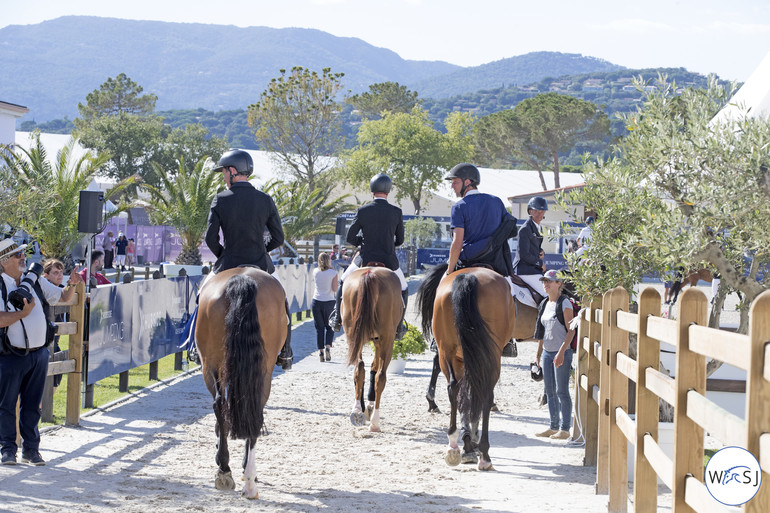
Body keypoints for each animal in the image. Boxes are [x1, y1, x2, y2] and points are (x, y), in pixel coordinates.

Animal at [194, 266, 286, 498]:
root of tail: (242, 279)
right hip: (262, 370)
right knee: (253, 410)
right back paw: (248, 479)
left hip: (212, 364)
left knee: (221, 405)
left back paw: (226, 470)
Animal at [340, 264, 402, 432]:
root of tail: (369, 274)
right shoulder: (380, 341)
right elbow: (375, 369)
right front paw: (369, 406)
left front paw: (363, 408)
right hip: (387, 340)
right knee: (380, 376)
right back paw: (375, 421)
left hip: (352, 336)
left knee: (359, 368)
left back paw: (356, 411)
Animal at [414, 262, 516, 470]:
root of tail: (468, 277)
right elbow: (473, 397)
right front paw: (474, 439)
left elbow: (464, 398)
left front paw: (468, 439)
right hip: (491, 357)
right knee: (485, 394)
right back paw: (484, 454)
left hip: (448, 351)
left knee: (453, 388)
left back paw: (454, 445)